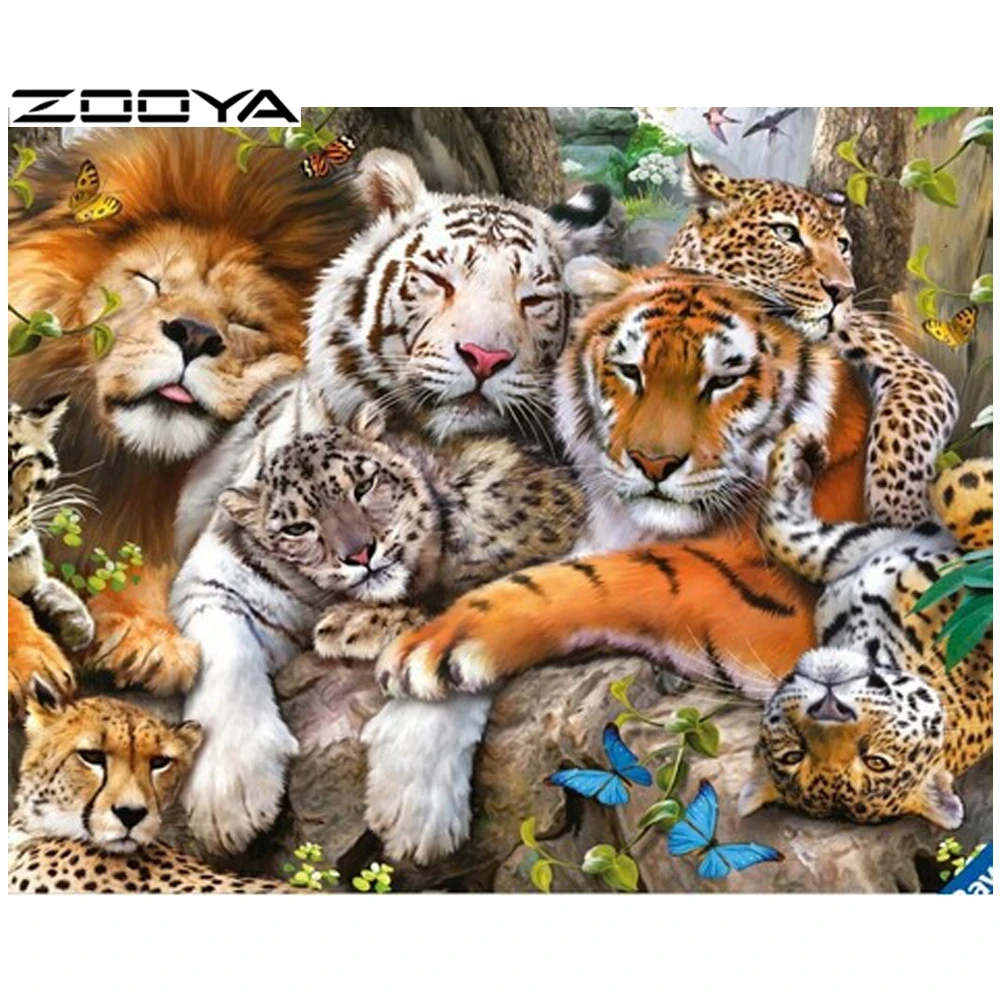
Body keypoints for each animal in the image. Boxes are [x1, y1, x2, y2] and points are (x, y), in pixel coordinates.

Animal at [172, 148, 612, 856]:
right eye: (437, 279)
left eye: (534, 298)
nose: (485, 356)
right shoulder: (221, 571)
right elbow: (223, 653)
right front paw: (229, 796)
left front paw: (413, 804)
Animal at [665, 152, 959, 529]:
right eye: (786, 233)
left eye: (842, 246)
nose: (843, 290)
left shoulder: (911, 368)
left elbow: (903, 431)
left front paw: (900, 514)